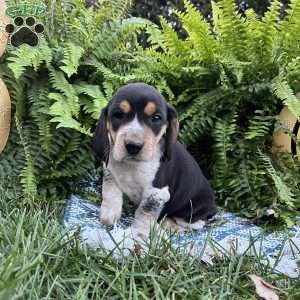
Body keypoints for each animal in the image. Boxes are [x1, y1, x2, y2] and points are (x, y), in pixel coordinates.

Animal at [92, 82, 217, 241]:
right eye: (118, 115)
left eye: (156, 118)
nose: (133, 146)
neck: (132, 165)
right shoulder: (110, 174)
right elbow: (110, 195)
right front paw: (109, 217)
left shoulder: (156, 193)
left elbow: (144, 213)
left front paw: (139, 235)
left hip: (192, 211)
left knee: (194, 224)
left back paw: (170, 225)